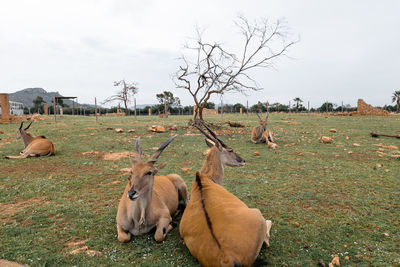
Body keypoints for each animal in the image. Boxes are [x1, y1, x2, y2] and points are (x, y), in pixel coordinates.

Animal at [180, 125, 272, 267]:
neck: (206, 179)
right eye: (230, 150)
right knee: (267, 239)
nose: (243, 160)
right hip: (257, 214)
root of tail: (228, 258)